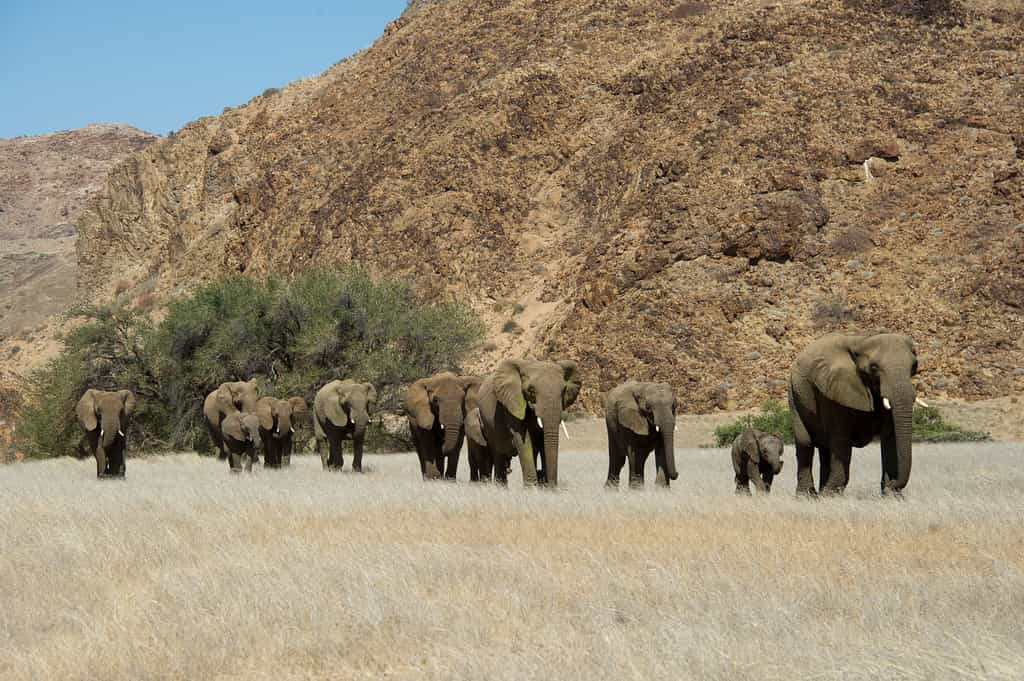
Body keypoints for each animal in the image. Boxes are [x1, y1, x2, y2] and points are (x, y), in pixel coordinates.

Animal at [473, 359, 581, 487]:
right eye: (531, 391)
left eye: (564, 391)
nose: (552, 486)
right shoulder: (512, 403)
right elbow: (523, 440)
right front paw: (531, 488)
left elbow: (542, 442)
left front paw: (545, 487)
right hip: (489, 425)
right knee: (498, 452)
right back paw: (501, 487)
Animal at [789, 333, 920, 496]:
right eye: (874, 368)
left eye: (914, 366)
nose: (894, 483)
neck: (860, 342)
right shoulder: (834, 389)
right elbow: (841, 439)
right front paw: (831, 494)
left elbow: (891, 437)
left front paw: (892, 495)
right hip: (794, 393)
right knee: (805, 442)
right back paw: (807, 496)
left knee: (825, 448)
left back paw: (821, 492)